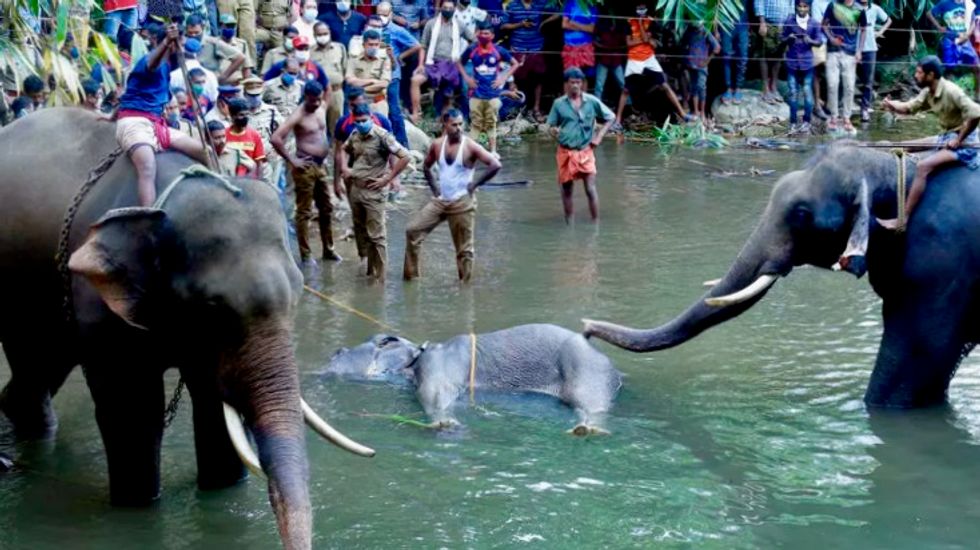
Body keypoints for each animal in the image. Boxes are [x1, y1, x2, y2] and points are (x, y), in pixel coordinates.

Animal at [0, 109, 374, 550]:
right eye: (211, 306)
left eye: (299, 292)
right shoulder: (99, 303)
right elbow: (134, 412)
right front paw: (138, 506)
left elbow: (213, 406)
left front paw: (222, 490)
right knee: (34, 364)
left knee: (42, 370)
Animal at [325, 324, 623, 433]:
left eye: (380, 342)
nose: (335, 351)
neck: (415, 357)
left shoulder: (438, 368)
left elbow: (435, 395)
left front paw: (446, 423)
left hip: (587, 374)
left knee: (591, 405)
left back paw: (586, 428)